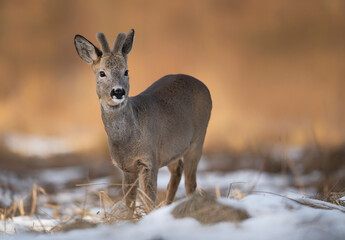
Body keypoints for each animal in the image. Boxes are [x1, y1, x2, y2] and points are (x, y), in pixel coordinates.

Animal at [74, 28, 211, 216]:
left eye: (126, 71)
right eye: (102, 73)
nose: (118, 91)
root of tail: (204, 86)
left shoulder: (149, 160)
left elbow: (148, 199)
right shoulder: (126, 167)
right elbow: (129, 201)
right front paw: (130, 219)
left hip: (198, 139)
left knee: (191, 182)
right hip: (170, 149)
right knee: (178, 170)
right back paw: (168, 207)